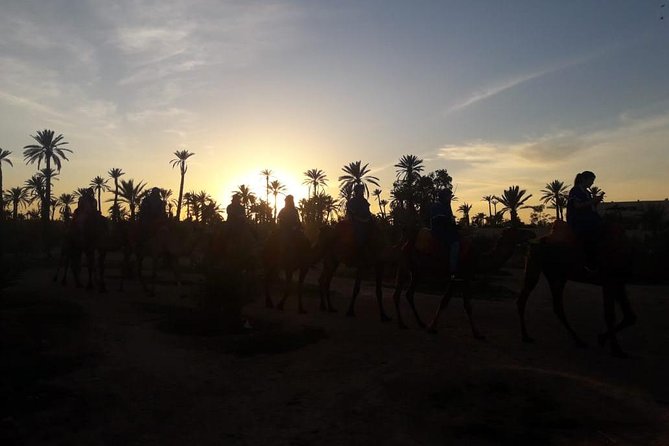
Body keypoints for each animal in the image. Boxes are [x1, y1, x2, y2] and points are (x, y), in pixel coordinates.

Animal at [394, 228, 536, 336]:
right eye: (517, 230)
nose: (531, 233)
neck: (477, 258)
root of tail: (404, 242)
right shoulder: (462, 276)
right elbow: (459, 304)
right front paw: (477, 333)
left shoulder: (459, 278)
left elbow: (452, 301)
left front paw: (431, 326)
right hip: (404, 265)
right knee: (397, 293)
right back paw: (401, 324)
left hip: (416, 271)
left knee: (409, 293)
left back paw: (420, 322)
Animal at [516, 221, 636, 358]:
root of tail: (532, 244)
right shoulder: (609, 281)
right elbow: (610, 315)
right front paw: (616, 349)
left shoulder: (619, 282)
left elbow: (630, 316)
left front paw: (602, 339)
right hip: (536, 266)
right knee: (524, 299)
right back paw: (526, 336)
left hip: (556, 275)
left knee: (557, 306)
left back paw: (578, 340)